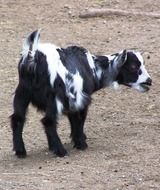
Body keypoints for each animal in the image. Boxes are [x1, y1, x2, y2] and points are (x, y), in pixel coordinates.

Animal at [10, 29, 152, 157]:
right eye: (133, 66)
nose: (149, 82)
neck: (92, 68)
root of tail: (33, 57)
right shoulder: (81, 98)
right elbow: (80, 119)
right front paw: (81, 143)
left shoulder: (72, 100)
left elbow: (73, 118)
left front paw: (65, 143)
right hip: (54, 98)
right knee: (48, 121)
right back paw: (61, 151)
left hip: (22, 93)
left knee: (18, 119)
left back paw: (21, 151)